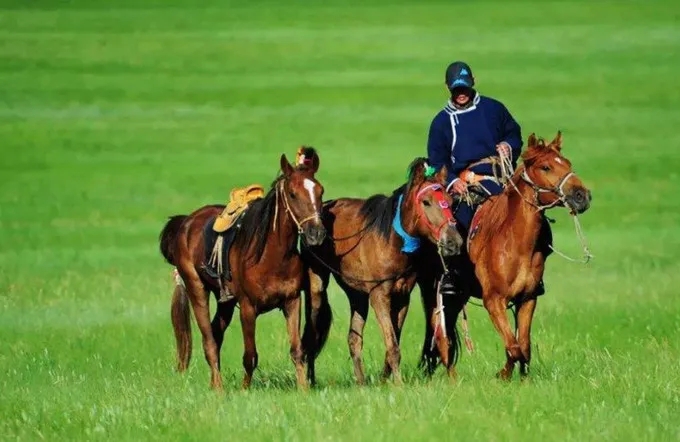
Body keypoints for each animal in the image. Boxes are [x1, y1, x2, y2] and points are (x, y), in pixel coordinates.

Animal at [161, 149, 328, 390]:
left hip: (226, 302)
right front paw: (245, 390)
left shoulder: (292, 301)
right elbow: (250, 356)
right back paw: (219, 389)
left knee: (216, 334)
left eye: (320, 191)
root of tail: (185, 223)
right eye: (293, 194)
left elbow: (297, 350)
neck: (271, 256)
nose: (317, 233)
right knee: (209, 341)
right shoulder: (248, 308)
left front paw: (303, 390)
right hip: (197, 289)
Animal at [302, 157, 464, 386]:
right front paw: (399, 384)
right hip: (318, 286)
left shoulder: (402, 296)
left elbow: (393, 339)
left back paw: (361, 383)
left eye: (450, 201)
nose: (454, 241)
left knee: (353, 338)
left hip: (357, 295)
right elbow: (392, 344)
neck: (392, 239)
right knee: (313, 332)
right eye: (426, 202)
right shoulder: (379, 295)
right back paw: (311, 380)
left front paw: (385, 380)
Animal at [418, 132, 592, 380]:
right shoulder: (494, 301)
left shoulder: (528, 299)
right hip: (437, 293)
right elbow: (513, 347)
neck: (515, 243)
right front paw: (502, 375)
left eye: (567, 163)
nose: (582, 196)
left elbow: (523, 347)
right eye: (546, 167)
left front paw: (519, 379)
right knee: (441, 336)